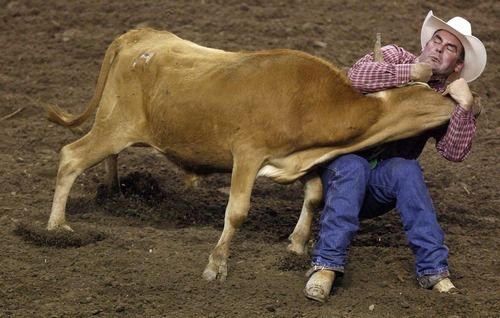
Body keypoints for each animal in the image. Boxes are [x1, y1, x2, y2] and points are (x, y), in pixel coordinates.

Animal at [46, 28, 458, 282]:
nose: (457, 103)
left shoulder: (299, 159)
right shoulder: (247, 154)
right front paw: (216, 265)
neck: (314, 102)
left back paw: (114, 193)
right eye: (426, 96)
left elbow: (314, 197)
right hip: (114, 126)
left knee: (105, 158)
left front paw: (295, 245)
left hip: (114, 127)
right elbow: (237, 212)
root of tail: (139, 36)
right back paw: (55, 228)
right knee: (71, 157)